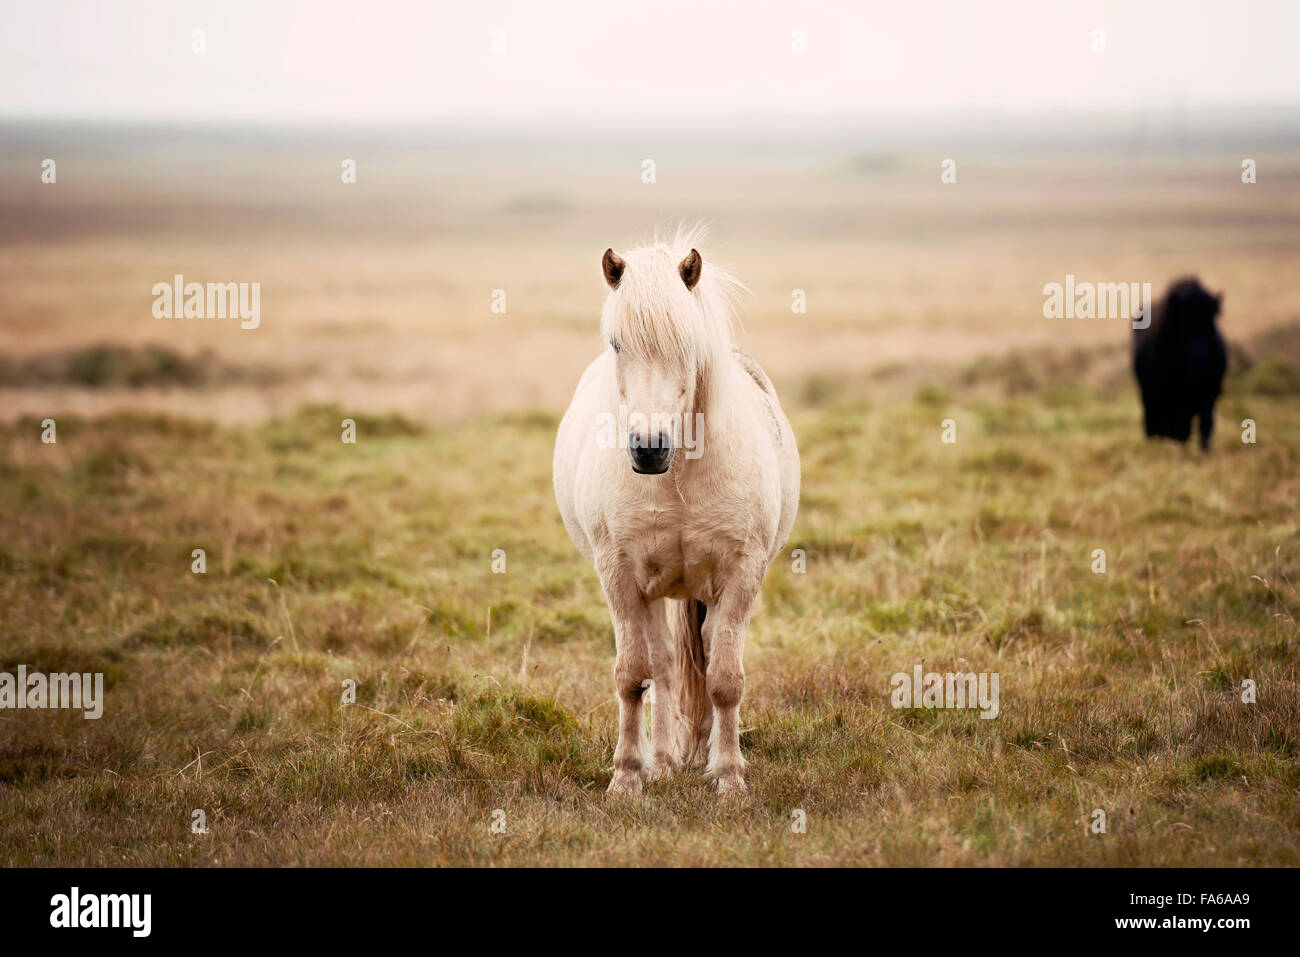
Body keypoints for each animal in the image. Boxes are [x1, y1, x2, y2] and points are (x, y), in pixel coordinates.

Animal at [551, 230, 795, 790]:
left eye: (687, 345)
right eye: (617, 344)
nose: (648, 449)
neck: (677, 475)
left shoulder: (741, 574)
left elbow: (724, 679)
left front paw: (728, 776)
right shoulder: (620, 576)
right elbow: (631, 675)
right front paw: (626, 777)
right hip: (654, 591)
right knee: (661, 666)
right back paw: (661, 762)